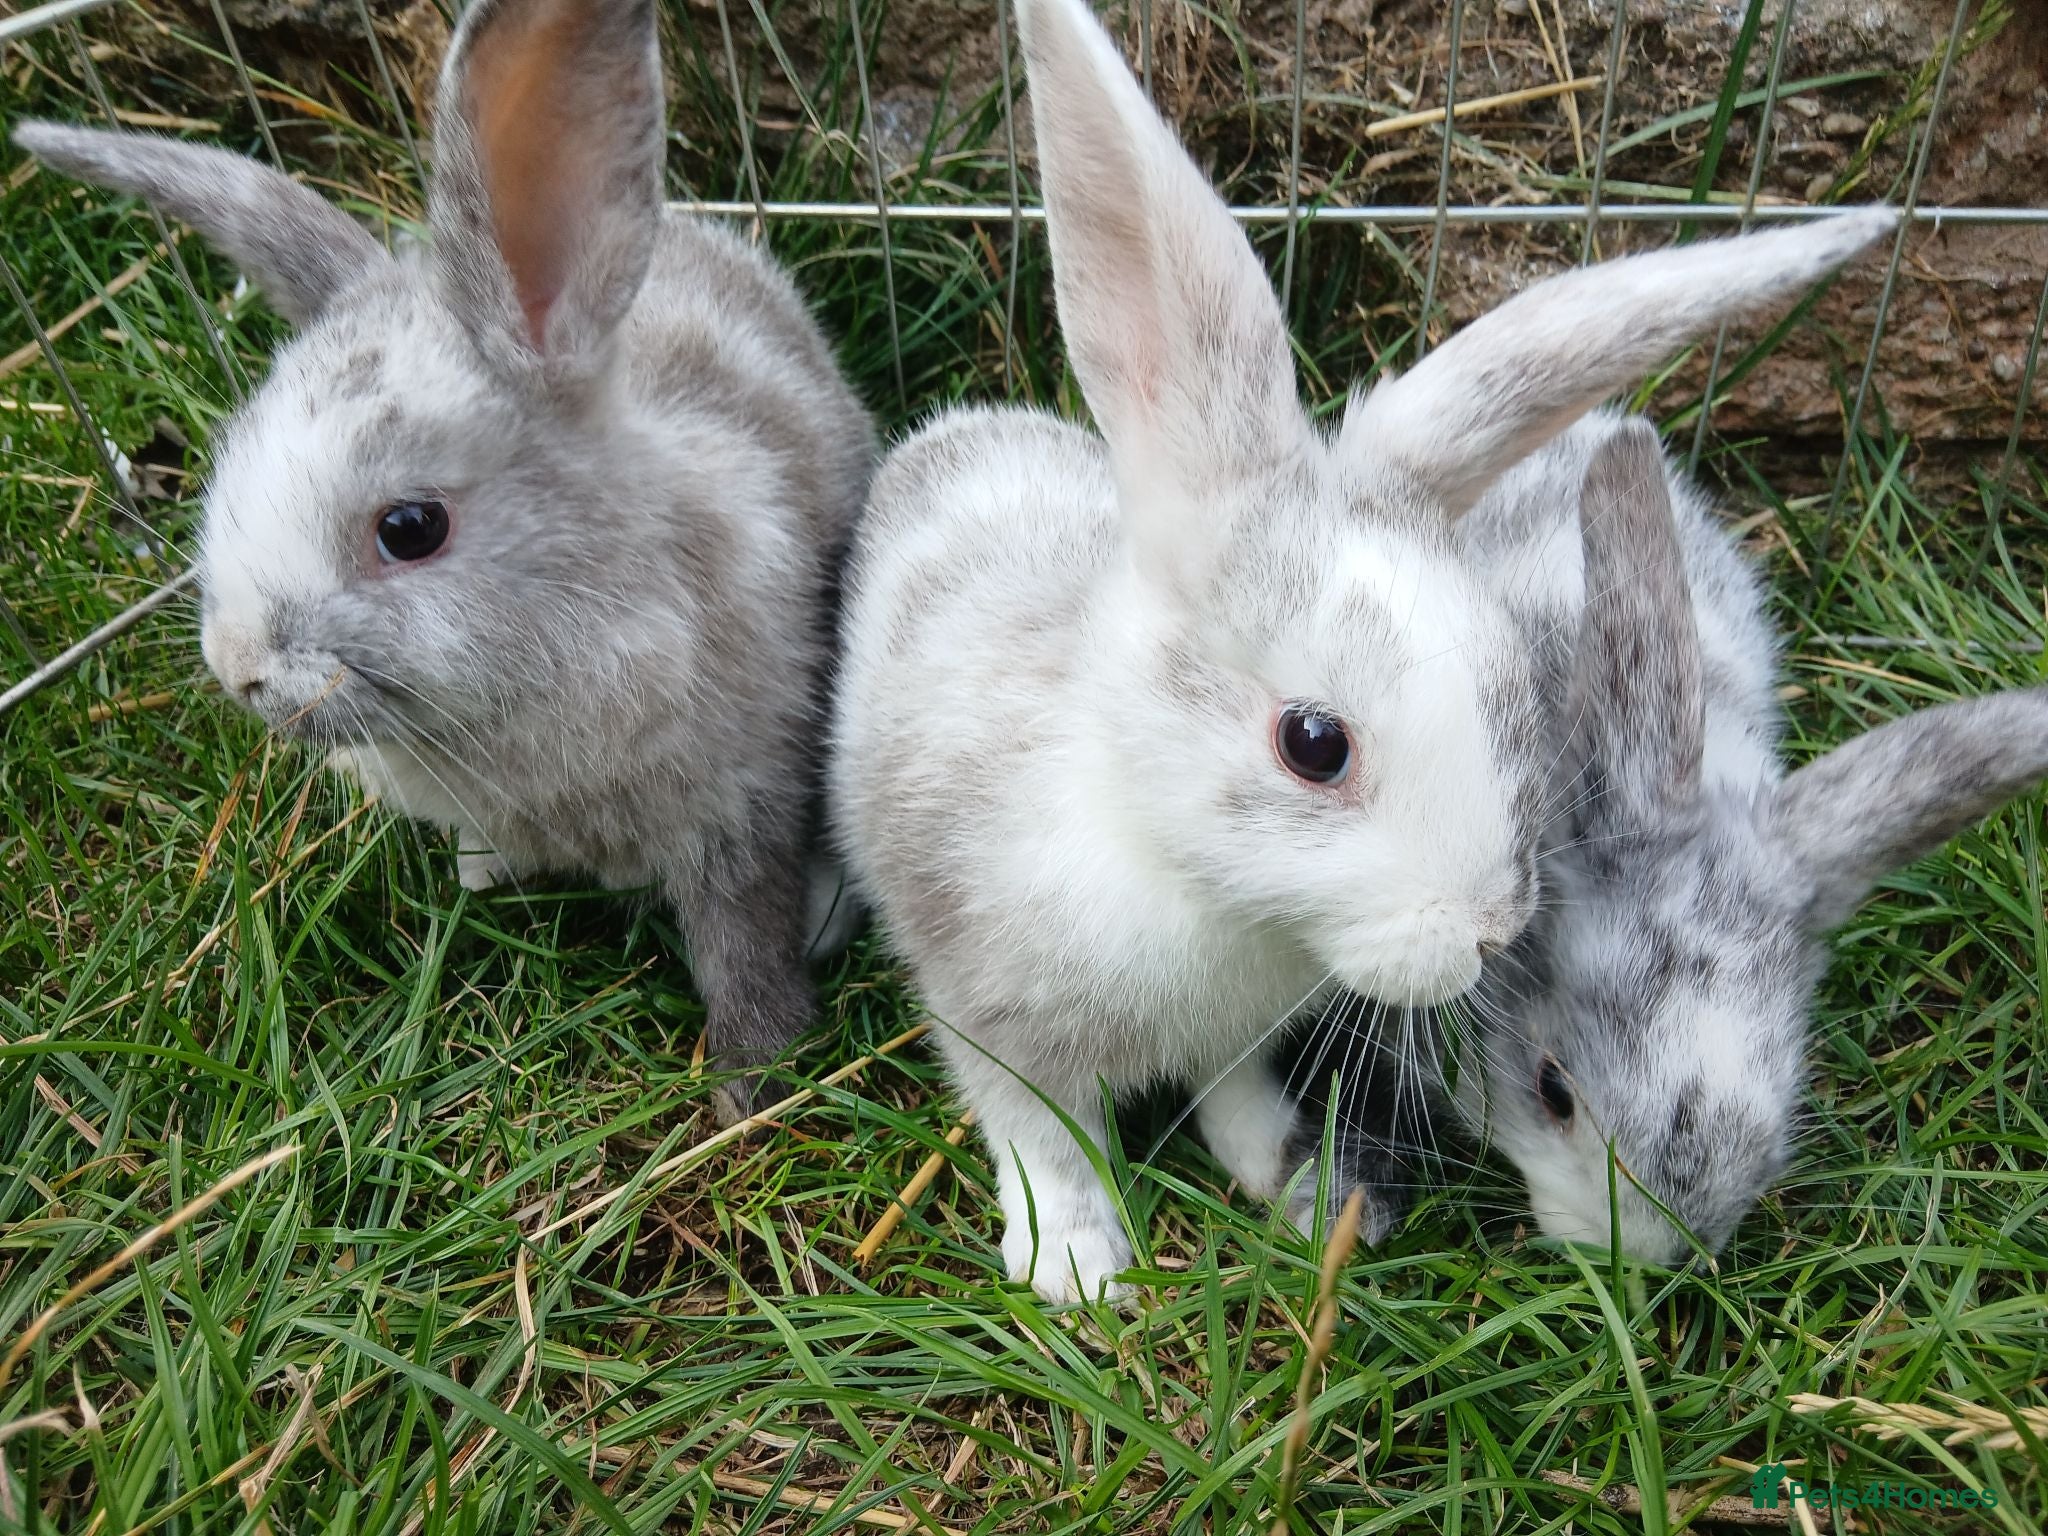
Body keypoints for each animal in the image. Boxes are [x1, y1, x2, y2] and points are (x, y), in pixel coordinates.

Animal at [14, 0, 875, 1123]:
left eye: (412, 527)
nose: (235, 669)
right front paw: (481, 872)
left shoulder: (745, 808)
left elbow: (744, 942)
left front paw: (751, 1087)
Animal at [827, 0, 1897, 1302]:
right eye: (1312, 744)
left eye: (1514, 687)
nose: (1490, 928)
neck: (1179, 867)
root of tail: (969, 430)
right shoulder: (990, 1008)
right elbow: (1043, 1132)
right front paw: (1078, 1267)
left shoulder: (1231, 1037)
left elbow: (1230, 1093)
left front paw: (1285, 1177)